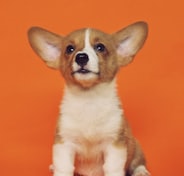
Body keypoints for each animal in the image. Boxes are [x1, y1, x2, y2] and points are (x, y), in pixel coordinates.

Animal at [28, 21, 150, 176]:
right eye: (70, 49)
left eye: (100, 47)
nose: (81, 57)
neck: (89, 99)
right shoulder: (64, 143)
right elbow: (64, 167)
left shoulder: (114, 144)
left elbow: (113, 168)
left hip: (136, 147)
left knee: (138, 162)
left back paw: (141, 171)